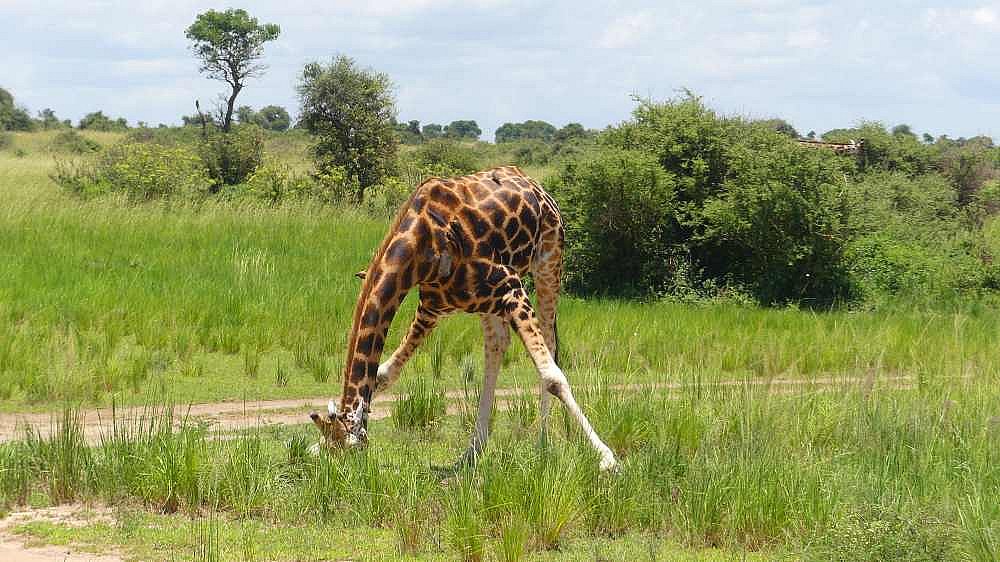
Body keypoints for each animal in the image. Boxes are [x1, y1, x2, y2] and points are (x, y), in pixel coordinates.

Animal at [309, 165, 618, 471]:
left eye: (350, 451)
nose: (348, 474)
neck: (419, 248)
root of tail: (535, 184)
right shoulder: (433, 307)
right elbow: (383, 375)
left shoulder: (510, 286)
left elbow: (553, 377)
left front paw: (607, 458)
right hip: (487, 303)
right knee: (496, 346)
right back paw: (473, 450)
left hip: (548, 262)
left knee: (550, 343)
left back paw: (542, 444)